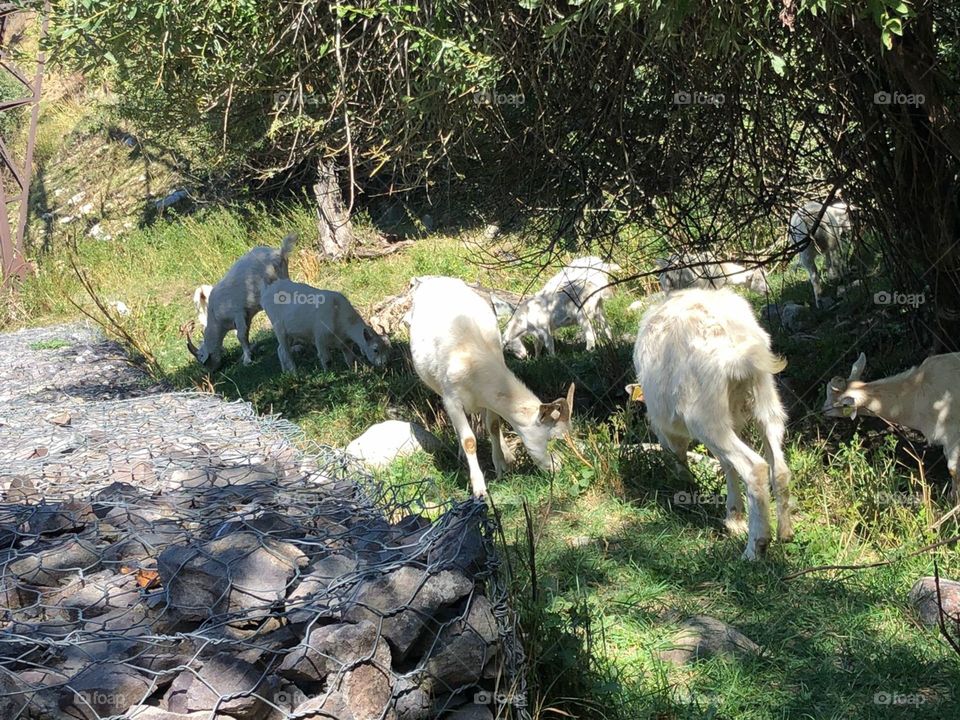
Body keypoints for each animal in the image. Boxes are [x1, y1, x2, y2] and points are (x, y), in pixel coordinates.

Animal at [186, 234, 296, 370]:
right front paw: (247, 353)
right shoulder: (246, 316)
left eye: (202, 360)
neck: (216, 318)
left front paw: (247, 359)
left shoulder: (238, 313)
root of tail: (279, 252)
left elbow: (241, 335)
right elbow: (246, 333)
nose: (212, 372)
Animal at [260, 279, 390, 373]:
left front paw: (353, 373)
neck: (337, 312)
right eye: (375, 350)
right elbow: (326, 359)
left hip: (290, 334)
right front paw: (329, 375)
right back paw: (295, 372)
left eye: (387, 348)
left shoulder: (345, 343)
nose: (384, 364)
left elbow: (350, 359)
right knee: (286, 352)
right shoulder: (320, 338)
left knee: (280, 350)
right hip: (279, 329)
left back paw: (285, 373)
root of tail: (267, 292)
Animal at [409, 276, 575, 496]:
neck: (471, 359)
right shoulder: (452, 399)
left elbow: (494, 427)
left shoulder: (490, 399)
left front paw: (501, 467)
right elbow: (469, 440)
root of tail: (435, 279)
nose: (560, 468)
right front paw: (479, 488)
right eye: (555, 438)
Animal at [630, 288, 793, 559]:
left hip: (706, 418)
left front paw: (685, 485)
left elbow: (681, 455)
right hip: (765, 400)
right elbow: (727, 466)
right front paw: (734, 518)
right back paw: (785, 532)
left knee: (754, 467)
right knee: (777, 466)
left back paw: (755, 547)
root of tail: (734, 346)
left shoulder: (667, 430)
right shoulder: (734, 420)